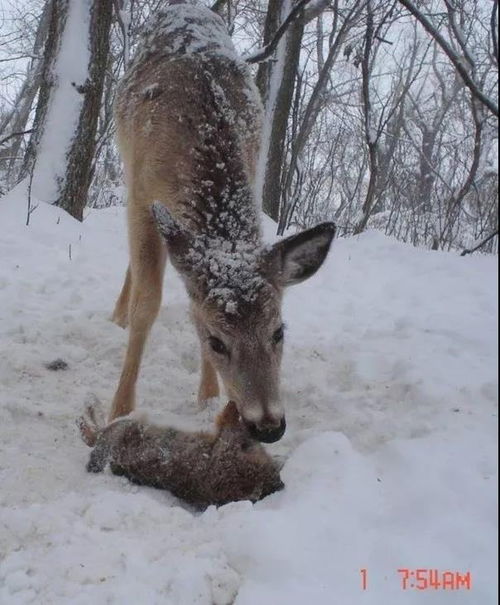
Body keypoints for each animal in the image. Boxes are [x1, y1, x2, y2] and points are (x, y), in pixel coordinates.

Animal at [109, 1, 336, 444]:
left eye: (279, 332)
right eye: (217, 342)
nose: (269, 426)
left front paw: (208, 399)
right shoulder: (143, 194)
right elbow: (149, 303)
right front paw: (120, 410)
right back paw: (118, 316)